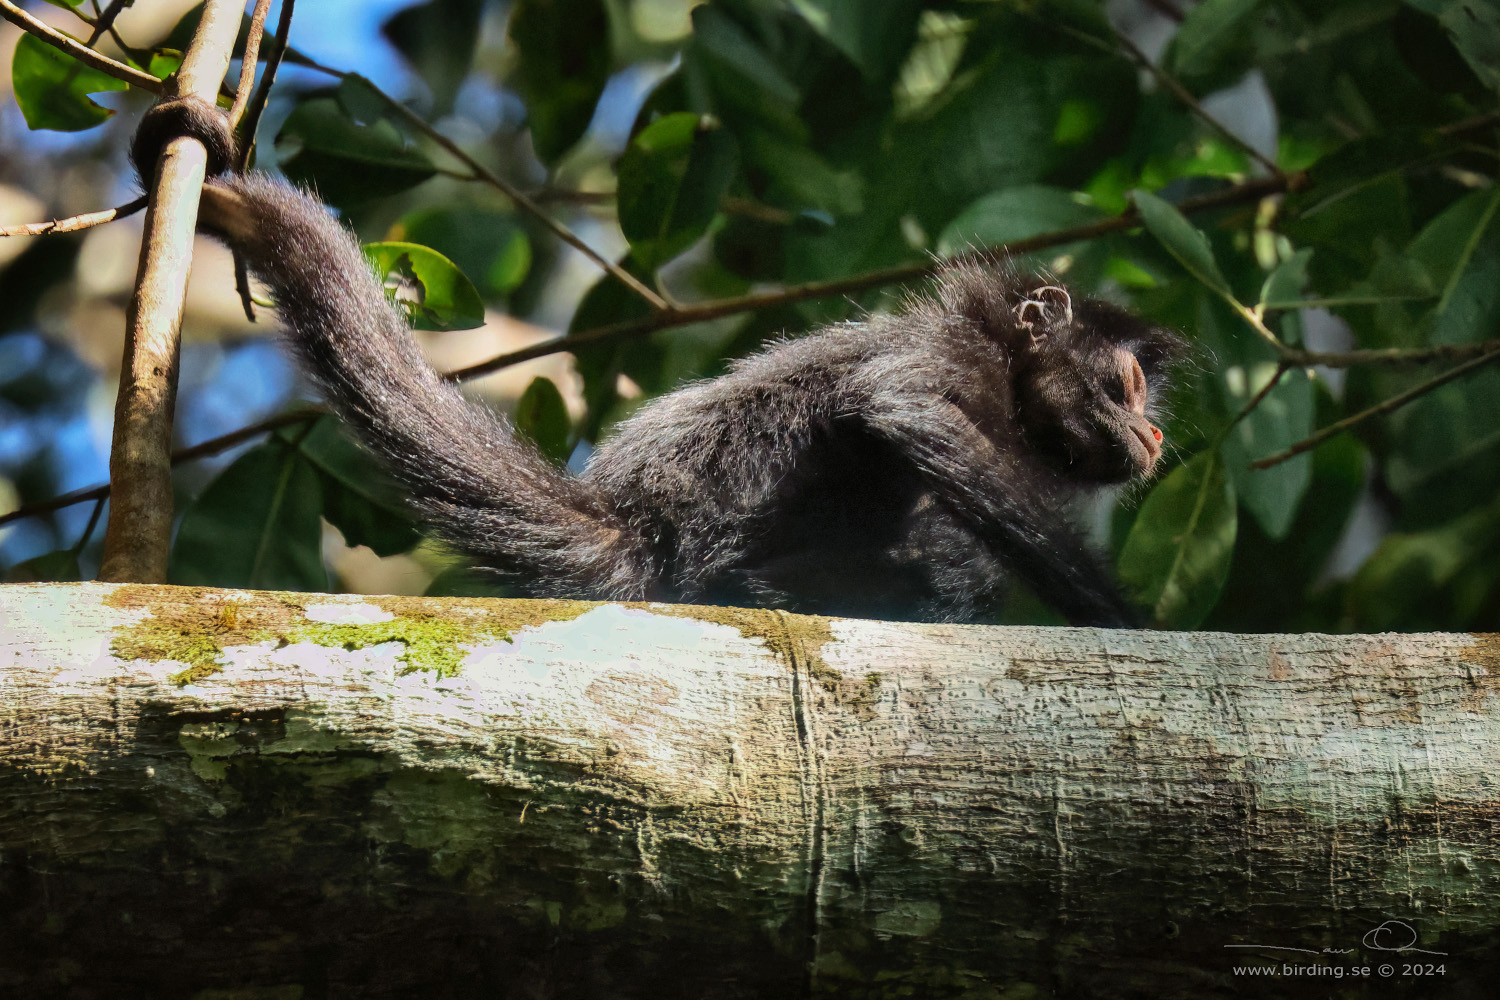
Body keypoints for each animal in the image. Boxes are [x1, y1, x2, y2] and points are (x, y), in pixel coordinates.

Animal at [135, 93, 1176, 626]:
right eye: (1127, 386)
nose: (1155, 436)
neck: (1005, 375)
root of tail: (636, 524)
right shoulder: (949, 350)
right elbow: (903, 413)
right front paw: (1122, 618)